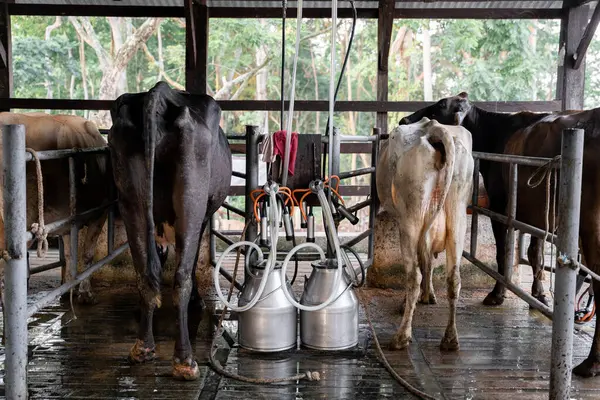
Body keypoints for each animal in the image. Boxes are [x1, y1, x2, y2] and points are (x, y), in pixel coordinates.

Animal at [0, 112, 110, 304]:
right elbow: (87, 254)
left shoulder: (67, 221)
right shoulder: (100, 213)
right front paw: (85, 293)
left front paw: (69, 289)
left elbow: (70, 255)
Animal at [108, 82, 232, 382]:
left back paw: (143, 347)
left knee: (145, 272)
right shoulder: (202, 219)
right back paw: (185, 361)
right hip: (192, 201)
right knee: (181, 275)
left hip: (131, 203)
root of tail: (159, 94)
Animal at [380, 117, 474, 352]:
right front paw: (428, 295)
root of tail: (435, 127)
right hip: (457, 215)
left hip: (411, 217)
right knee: (453, 277)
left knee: (413, 275)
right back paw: (450, 339)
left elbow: (421, 264)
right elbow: (428, 261)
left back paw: (402, 336)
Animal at [398, 94, 600, 378]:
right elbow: (535, 254)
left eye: (439, 107)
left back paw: (591, 363)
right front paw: (539, 296)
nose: (404, 120)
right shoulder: (539, 214)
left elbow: (503, 253)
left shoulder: (501, 207)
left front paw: (497, 294)